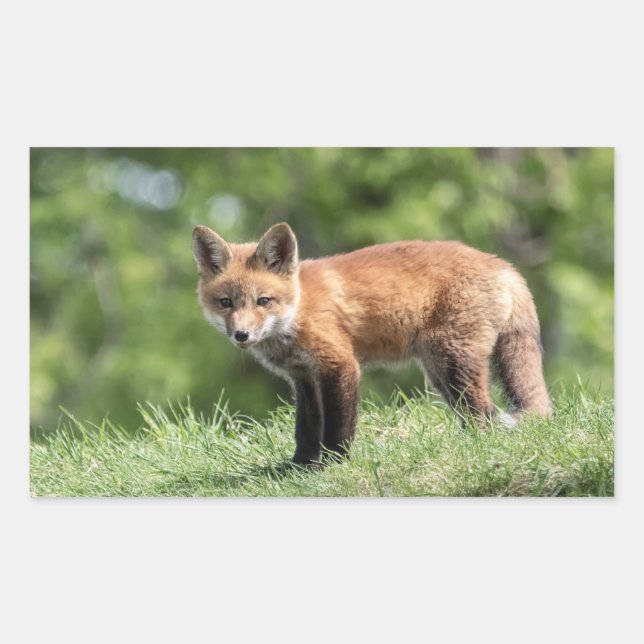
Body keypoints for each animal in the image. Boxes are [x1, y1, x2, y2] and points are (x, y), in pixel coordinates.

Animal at [192, 222, 552, 465]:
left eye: (263, 301)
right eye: (225, 303)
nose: (241, 335)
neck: (298, 309)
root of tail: (503, 265)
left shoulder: (340, 365)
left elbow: (338, 426)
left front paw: (333, 464)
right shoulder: (303, 376)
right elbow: (306, 428)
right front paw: (299, 466)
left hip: (452, 361)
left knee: (483, 414)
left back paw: (473, 448)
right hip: (439, 371)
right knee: (477, 413)